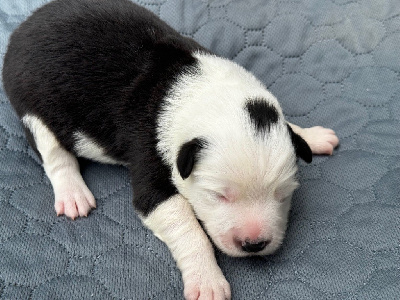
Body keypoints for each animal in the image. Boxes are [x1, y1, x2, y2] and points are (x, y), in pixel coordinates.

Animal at [2, 0, 338, 298]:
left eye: (283, 194)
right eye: (218, 195)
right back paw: (73, 194)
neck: (198, 93)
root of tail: (22, 27)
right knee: (54, 155)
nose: (254, 244)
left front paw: (310, 135)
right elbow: (188, 230)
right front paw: (207, 281)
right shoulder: (149, 158)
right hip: (33, 107)